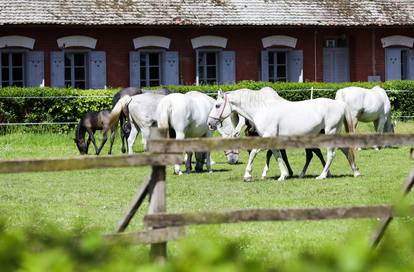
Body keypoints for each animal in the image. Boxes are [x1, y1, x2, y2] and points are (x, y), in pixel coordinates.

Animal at [205, 88, 360, 182]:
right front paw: (283, 175)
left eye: (217, 105)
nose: (210, 123)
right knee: (345, 150)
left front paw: (247, 175)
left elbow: (254, 153)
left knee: (331, 154)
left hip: (330, 132)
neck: (262, 109)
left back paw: (322, 175)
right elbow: (277, 155)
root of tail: (341, 105)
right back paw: (355, 172)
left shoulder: (267, 137)